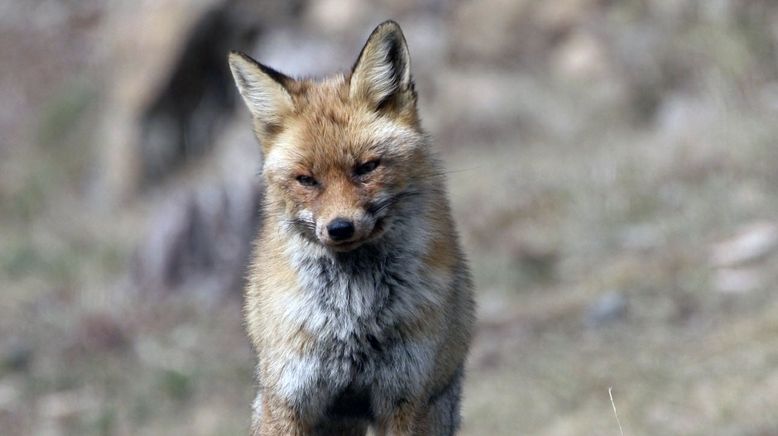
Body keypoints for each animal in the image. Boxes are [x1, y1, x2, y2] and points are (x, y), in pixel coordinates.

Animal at [227, 21, 472, 436]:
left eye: (366, 168)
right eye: (307, 180)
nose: (340, 228)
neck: (353, 315)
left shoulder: (406, 399)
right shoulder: (290, 398)